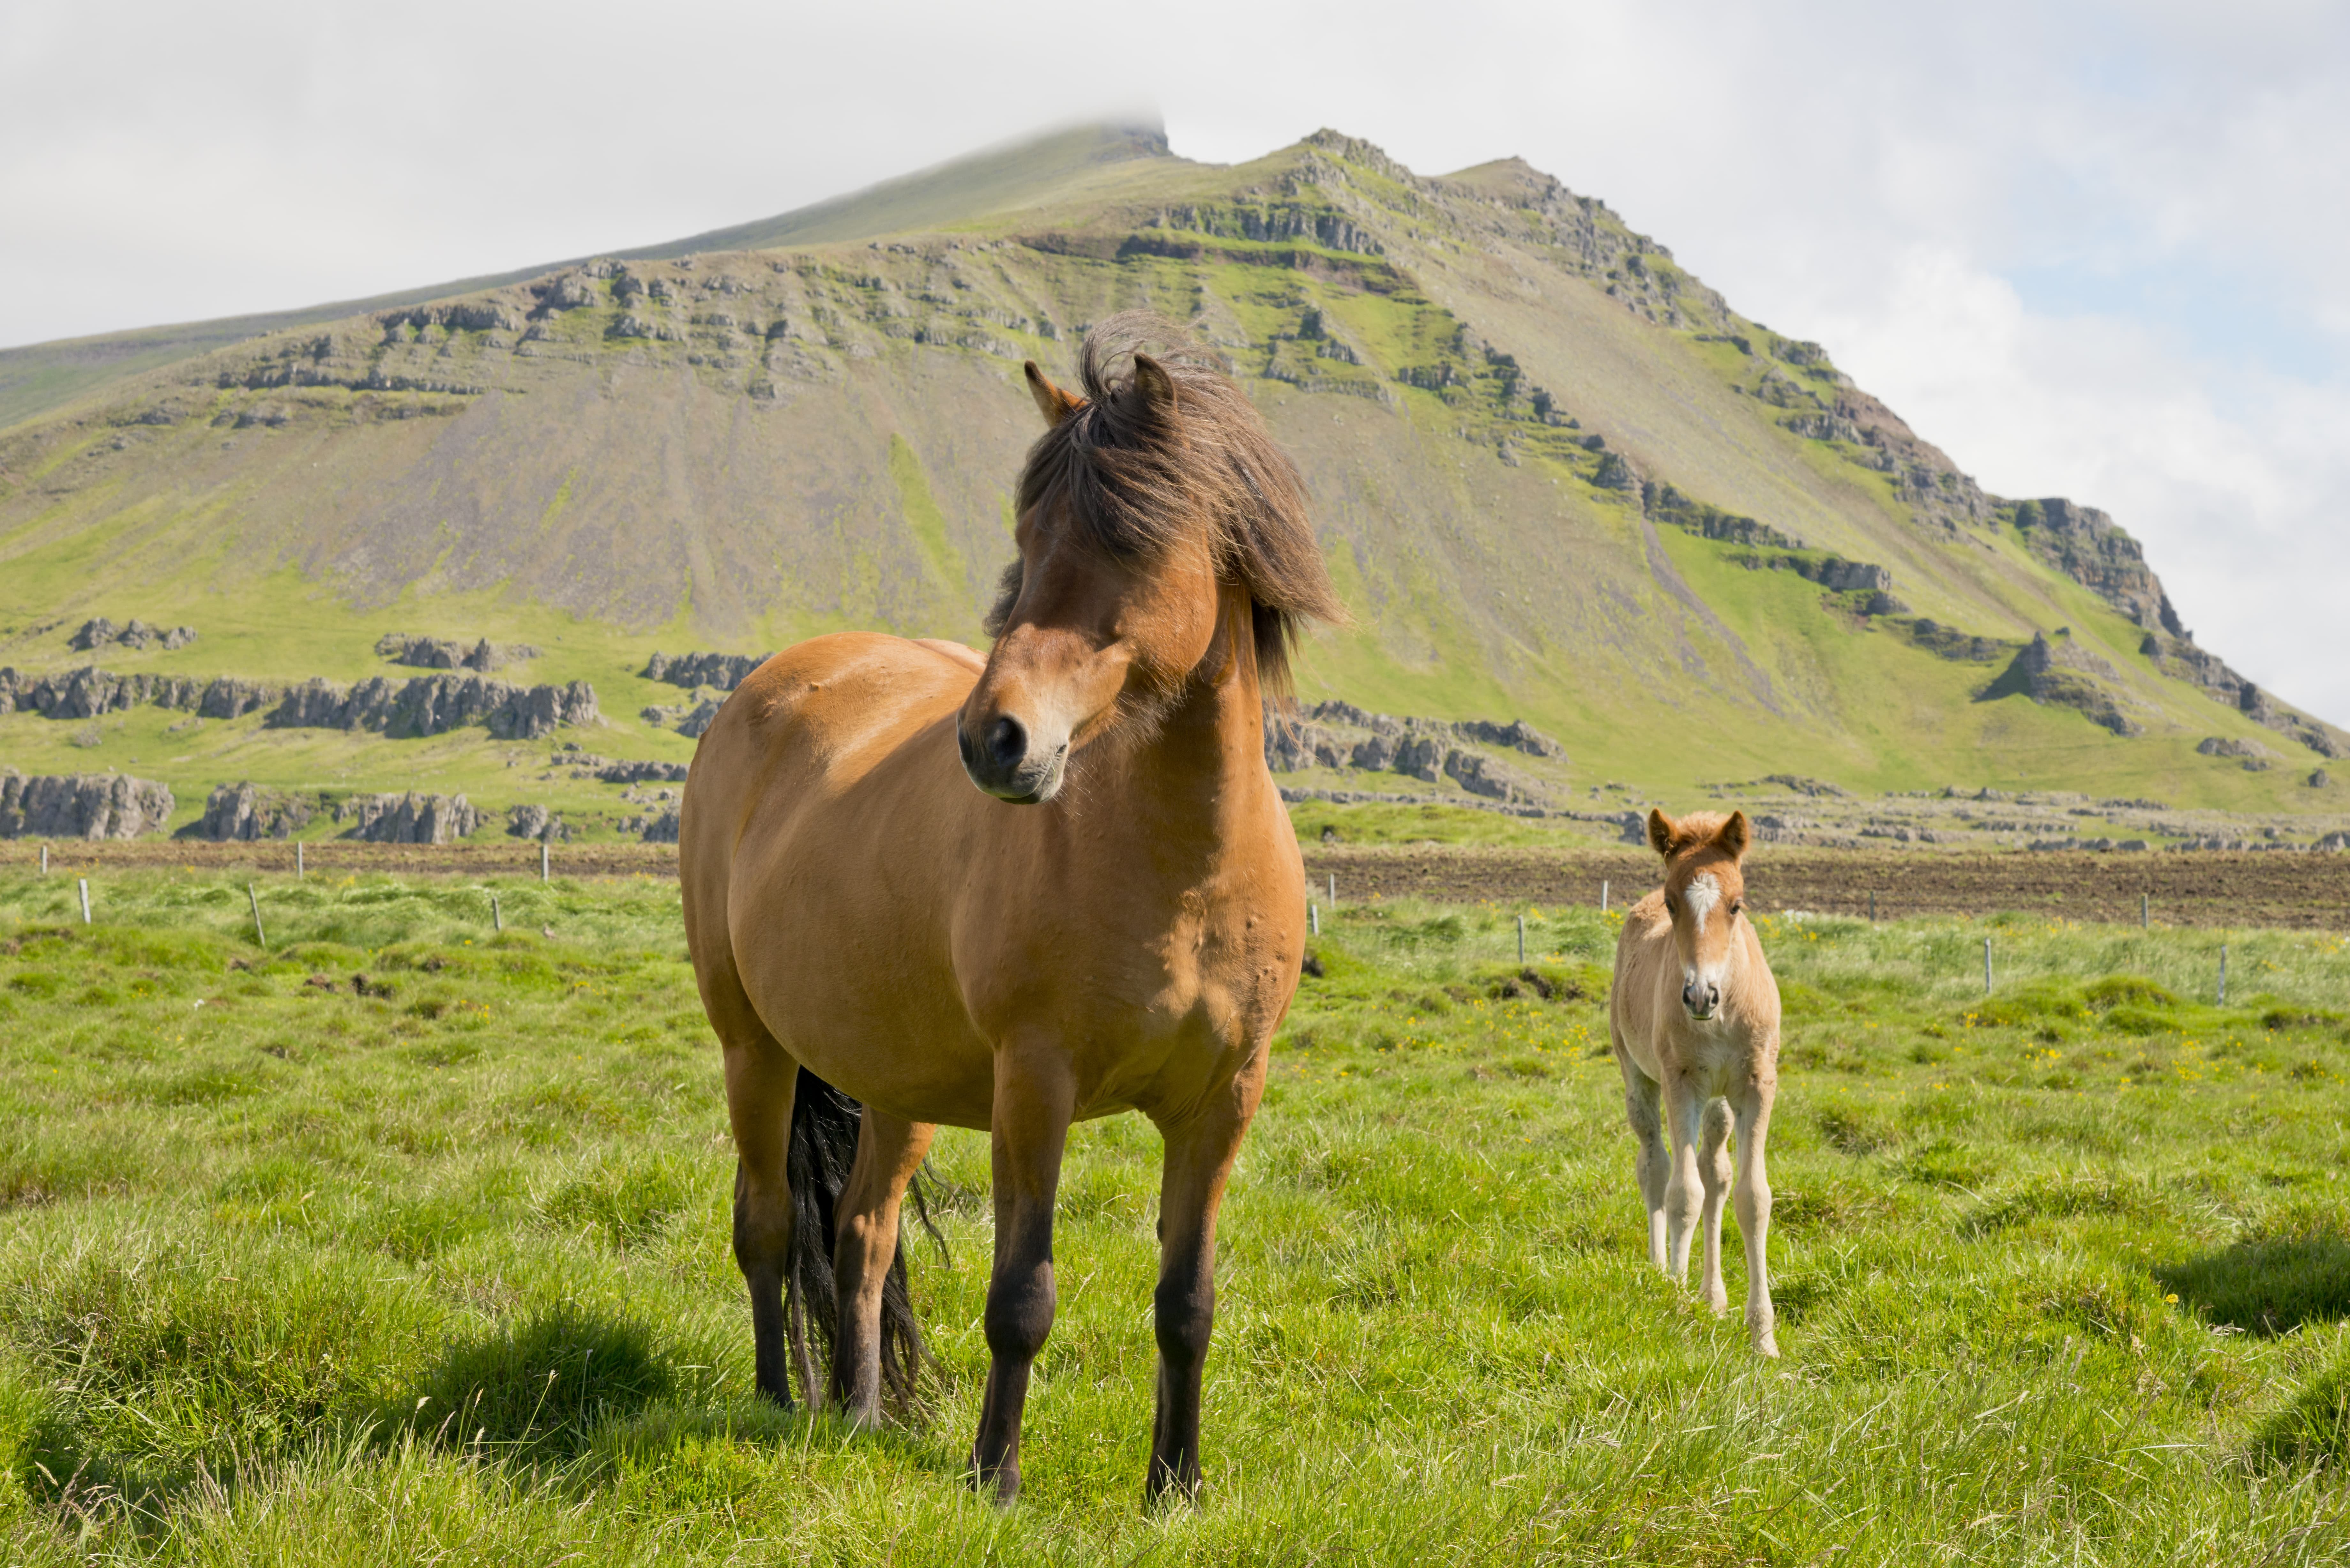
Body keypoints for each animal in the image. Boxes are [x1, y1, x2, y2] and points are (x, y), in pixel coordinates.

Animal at [681, 313, 1344, 1504]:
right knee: (764, 1226)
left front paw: (1174, 1486)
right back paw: (775, 1398)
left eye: (1135, 543)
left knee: (860, 1233)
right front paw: (996, 1476)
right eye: (1028, 535)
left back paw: (858, 1412)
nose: (996, 740)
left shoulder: (1223, 1098)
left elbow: (1187, 1302)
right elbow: (1021, 1293)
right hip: (752, 1046)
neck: (1180, 869)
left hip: (896, 1081)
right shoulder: (1036, 1085)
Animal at [1617, 809, 1777, 1363]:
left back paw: (1714, 1296)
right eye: (1671, 902)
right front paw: (1678, 1299)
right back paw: (1661, 1272)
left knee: (1716, 1174)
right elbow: (1682, 1193)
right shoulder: (1681, 1084)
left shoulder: (1756, 1087)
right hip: (1640, 1077)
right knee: (1655, 1167)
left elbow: (1751, 1197)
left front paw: (1763, 1337)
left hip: (1719, 1103)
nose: (1701, 996)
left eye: (1737, 904)